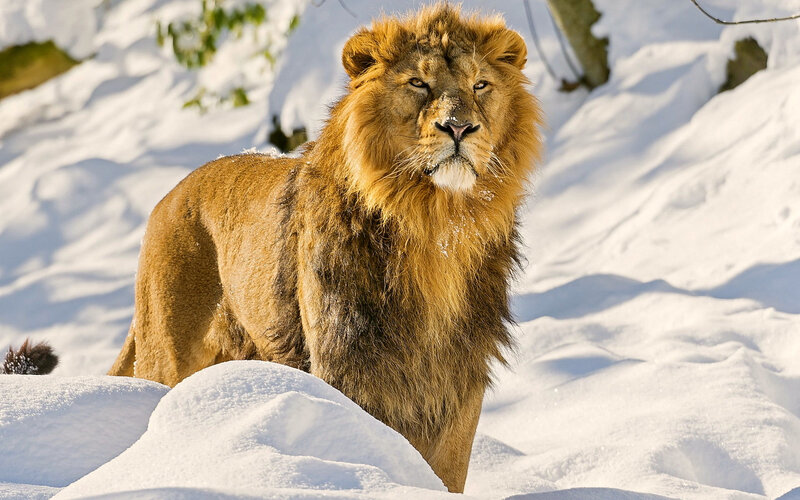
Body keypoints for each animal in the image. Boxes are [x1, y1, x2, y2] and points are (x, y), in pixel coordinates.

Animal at [107, 4, 543, 492]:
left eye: (480, 85)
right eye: (418, 83)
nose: (459, 127)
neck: (436, 227)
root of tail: (167, 197)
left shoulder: (460, 376)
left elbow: (447, 472)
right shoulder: (346, 361)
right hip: (165, 356)